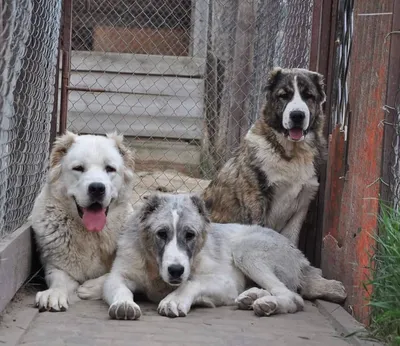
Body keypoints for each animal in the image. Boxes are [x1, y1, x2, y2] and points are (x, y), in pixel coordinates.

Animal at [101, 192, 346, 318]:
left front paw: (175, 299)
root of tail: (301, 257)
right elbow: (120, 288)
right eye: (161, 233)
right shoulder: (117, 276)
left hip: (246, 251)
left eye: (189, 235)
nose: (176, 270)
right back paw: (253, 296)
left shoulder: (226, 283)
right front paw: (124, 304)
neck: (156, 270)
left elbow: (191, 283)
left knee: (293, 297)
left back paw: (268, 304)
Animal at [202, 67, 326, 246]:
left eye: (308, 95)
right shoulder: (256, 199)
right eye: (284, 95)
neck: (291, 154)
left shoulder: (301, 205)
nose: (297, 115)